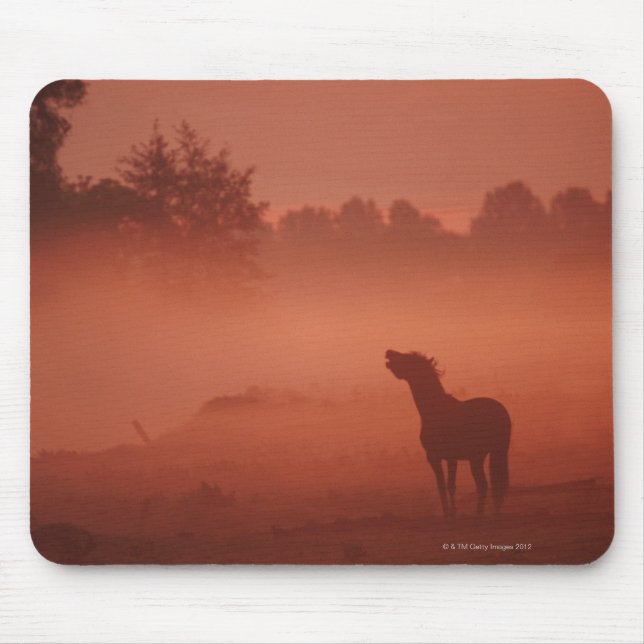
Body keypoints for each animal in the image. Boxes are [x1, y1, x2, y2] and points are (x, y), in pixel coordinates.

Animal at [385, 349, 511, 517]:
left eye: (407, 358)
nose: (388, 352)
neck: (435, 410)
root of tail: (502, 412)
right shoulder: (449, 458)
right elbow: (448, 486)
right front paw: (452, 512)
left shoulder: (436, 457)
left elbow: (444, 485)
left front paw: (448, 514)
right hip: (489, 454)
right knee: (491, 485)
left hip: (478, 456)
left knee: (484, 484)